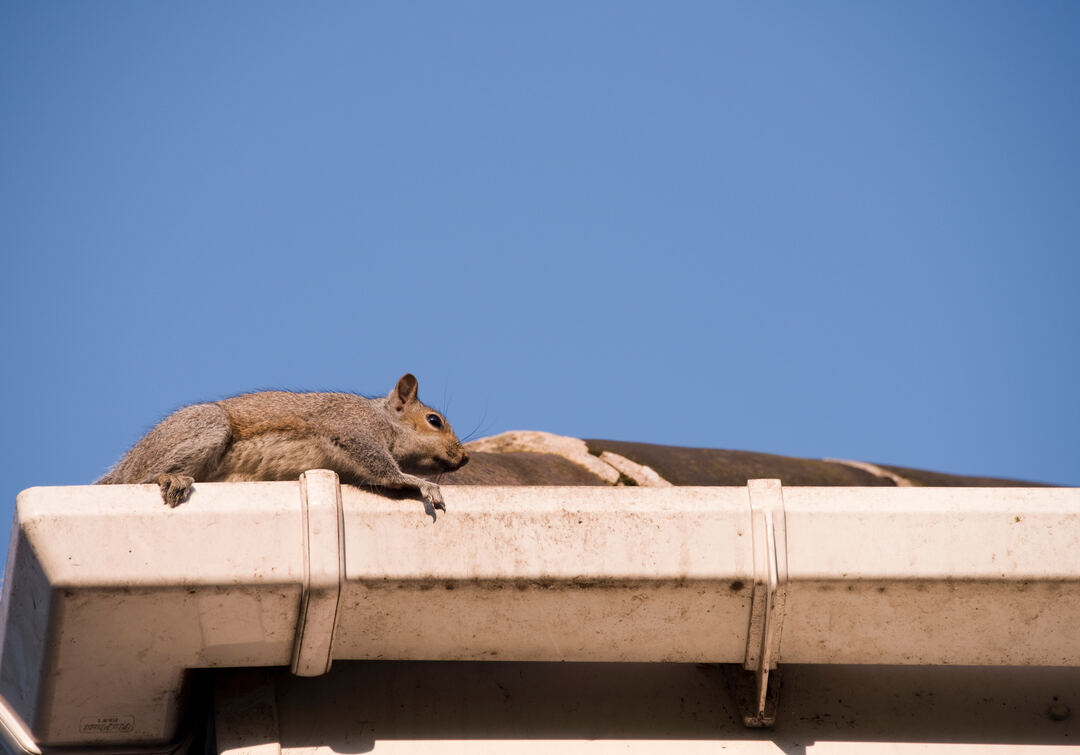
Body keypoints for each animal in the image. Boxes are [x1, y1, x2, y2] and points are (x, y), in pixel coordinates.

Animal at [96, 373, 469, 509]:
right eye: (434, 421)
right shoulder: (349, 425)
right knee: (142, 478)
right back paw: (170, 477)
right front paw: (419, 483)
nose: (464, 458)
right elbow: (384, 468)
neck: (384, 419)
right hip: (206, 426)